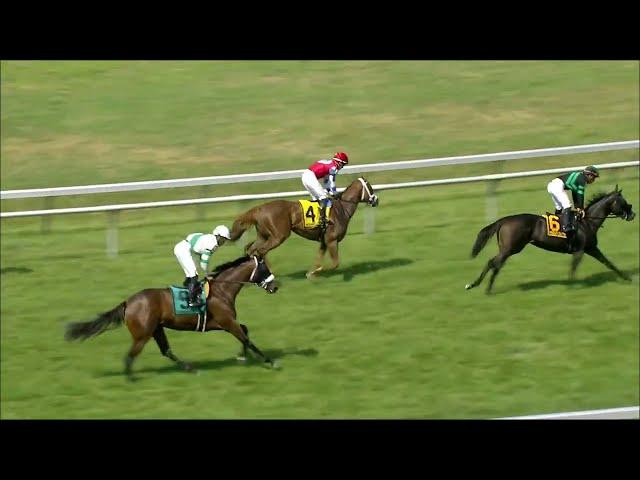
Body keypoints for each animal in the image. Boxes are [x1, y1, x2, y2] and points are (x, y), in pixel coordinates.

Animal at [64, 255, 280, 378]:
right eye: (265, 269)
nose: (275, 286)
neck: (221, 290)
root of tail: (128, 302)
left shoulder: (224, 323)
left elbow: (245, 331)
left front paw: (242, 356)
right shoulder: (226, 322)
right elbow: (246, 337)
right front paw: (269, 361)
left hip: (156, 329)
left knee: (165, 350)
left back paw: (191, 369)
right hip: (143, 334)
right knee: (130, 356)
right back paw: (131, 379)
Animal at [230, 177, 380, 278]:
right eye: (369, 187)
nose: (376, 200)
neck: (342, 209)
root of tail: (259, 209)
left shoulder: (324, 241)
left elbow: (319, 259)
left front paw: (311, 272)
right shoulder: (331, 240)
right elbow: (335, 263)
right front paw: (315, 273)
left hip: (263, 235)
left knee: (251, 249)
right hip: (279, 236)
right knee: (261, 251)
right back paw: (269, 272)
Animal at [464, 187, 636, 292]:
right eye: (623, 201)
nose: (633, 214)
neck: (587, 222)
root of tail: (504, 220)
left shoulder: (591, 249)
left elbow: (608, 263)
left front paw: (627, 278)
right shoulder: (582, 250)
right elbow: (575, 267)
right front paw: (571, 284)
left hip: (508, 248)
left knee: (494, 263)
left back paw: (477, 285)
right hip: (511, 248)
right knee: (494, 263)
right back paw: (483, 287)